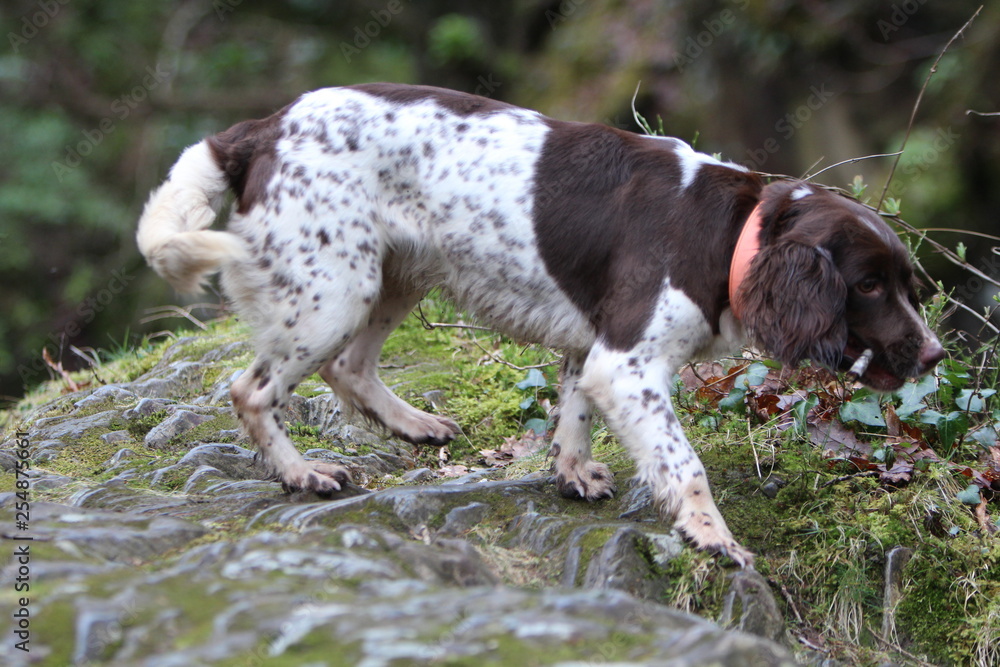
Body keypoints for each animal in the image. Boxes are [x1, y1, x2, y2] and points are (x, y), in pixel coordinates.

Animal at [135, 81, 944, 568]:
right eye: (869, 285)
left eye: (906, 283)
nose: (935, 355)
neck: (733, 235)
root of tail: (259, 130)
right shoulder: (629, 362)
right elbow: (684, 465)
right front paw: (715, 538)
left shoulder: (594, 350)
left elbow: (574, 413)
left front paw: (573, 474)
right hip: (335, 288)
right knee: (251, 390)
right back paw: (302, 472)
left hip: (393, 273)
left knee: (349, 366)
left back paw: (415, 425)